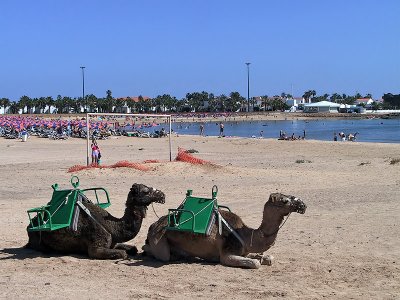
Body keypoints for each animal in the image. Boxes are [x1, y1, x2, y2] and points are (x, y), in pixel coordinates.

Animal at [26, 184, 165, 258]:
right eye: (146, 191)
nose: (162, 195)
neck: (113, 226)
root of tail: (29, 225)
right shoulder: (96, 247)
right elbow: (122, 254)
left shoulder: (112, 241)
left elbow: (133, 249)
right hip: (36, 238)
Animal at [143, 192, 306, 270]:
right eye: (284, 200)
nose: (303, 205)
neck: (246, 235)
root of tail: (153, 225)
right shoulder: (227, 254)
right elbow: (255, 263)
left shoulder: (243, 250)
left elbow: (268, 258)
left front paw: (264, 258)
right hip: (159, 240)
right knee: (157, 252)